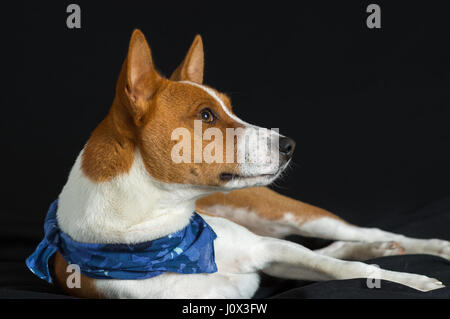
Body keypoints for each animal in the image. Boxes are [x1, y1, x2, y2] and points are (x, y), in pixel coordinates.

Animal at [26, 28, 448, 298]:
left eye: (229, 107)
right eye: (207, 115)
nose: (289, 144)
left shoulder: (269, 250)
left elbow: (349, 271)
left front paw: (415, 283)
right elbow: (332, 262)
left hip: (285, 215)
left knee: (355, 234)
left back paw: (427, 246)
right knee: (335, 247)